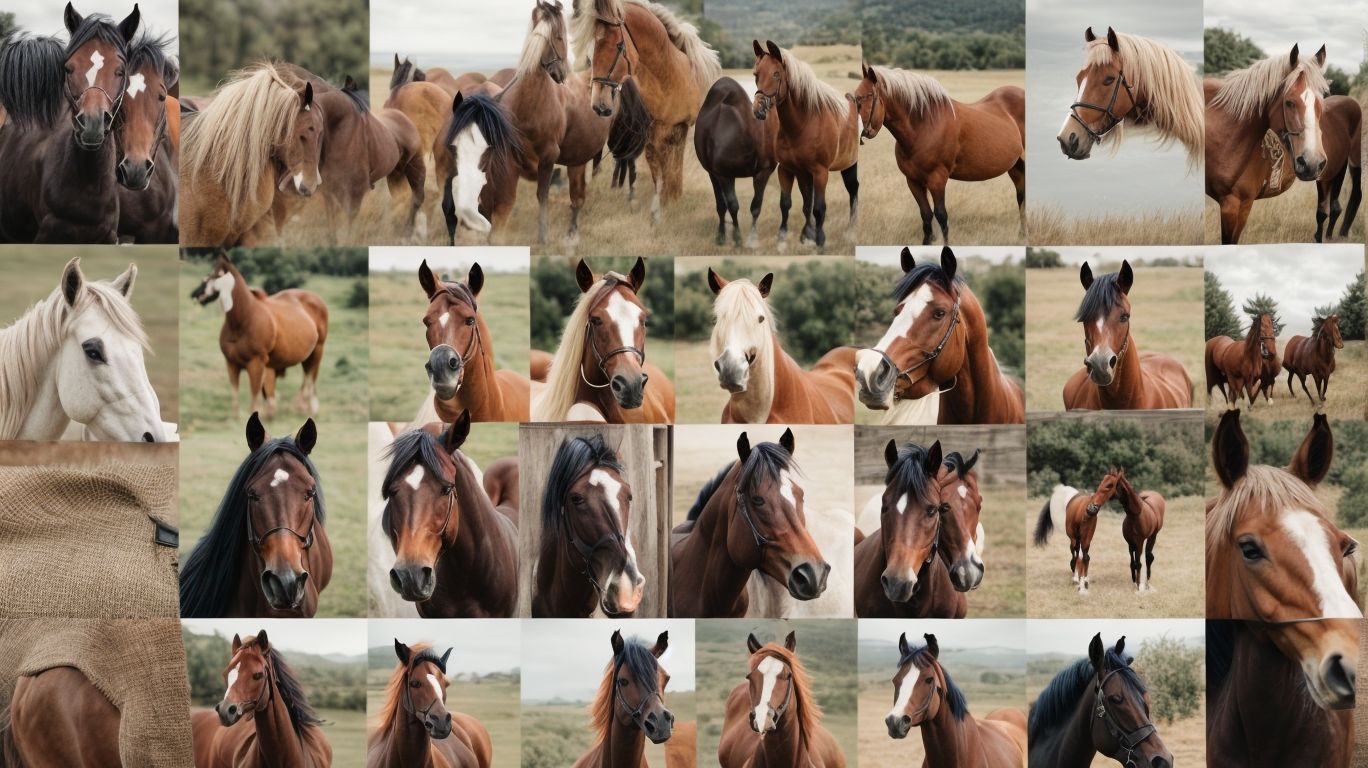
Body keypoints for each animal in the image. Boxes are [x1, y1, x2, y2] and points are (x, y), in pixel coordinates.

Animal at [195, 253, 329, 420]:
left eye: (216, 275)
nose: (196, 294)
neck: (243, 320)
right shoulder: (232, 363)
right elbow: (236, 392)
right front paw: (236, 418)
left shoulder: (256, 363)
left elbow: (255, 392)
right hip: (307, 356)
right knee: (307, 379)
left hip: (317, 351)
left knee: (310, 379)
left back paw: (308, 409)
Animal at [573, 0, 721, 224]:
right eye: (591, 51)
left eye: (618, 45)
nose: (599, 104)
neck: (667, 79)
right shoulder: (652, 135)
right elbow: (658, 172)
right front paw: (662, 206)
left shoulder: (679, 129)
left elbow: (674, 170)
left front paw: (674, 201)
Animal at [694, 76, 778, 248]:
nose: (761, 111)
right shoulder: (722, 175)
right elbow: (729, 205)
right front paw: (731, 237)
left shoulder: (763, 171)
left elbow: (755, 206)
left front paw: (751, 239)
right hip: (716, 174)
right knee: (723, 204)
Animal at [751, 40, 859, 250]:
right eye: (756, 75)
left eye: (776, 74)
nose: (759, 109)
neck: (803, 124)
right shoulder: (787, 169)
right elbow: (788, 203)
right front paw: (785, 238)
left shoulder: (820, 172)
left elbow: (819, 208)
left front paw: (820, 240)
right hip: (805, 174)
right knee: (808, 200)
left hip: (848, 166)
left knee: (853, 192)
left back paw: (850, 232)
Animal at [854, 63, 1025, 245]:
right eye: (855, 97)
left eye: (866, 97)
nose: (856, 132)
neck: (924, 126)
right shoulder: (913, 181)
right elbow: (926, 215)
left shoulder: (937, 179)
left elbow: (941, 215)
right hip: (1016, 167)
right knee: (1021, 196)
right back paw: (1022, 234)